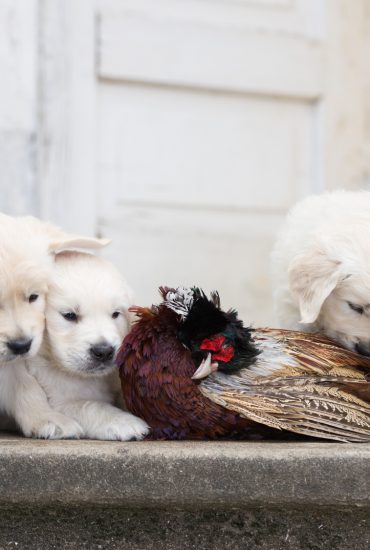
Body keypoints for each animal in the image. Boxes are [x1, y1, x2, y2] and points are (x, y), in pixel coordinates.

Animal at [27, 252, 150, 442]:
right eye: (69, 315)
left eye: (115, 314)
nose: (104, 351)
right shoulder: (59, 399)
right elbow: (91, 405)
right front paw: (123, 422)